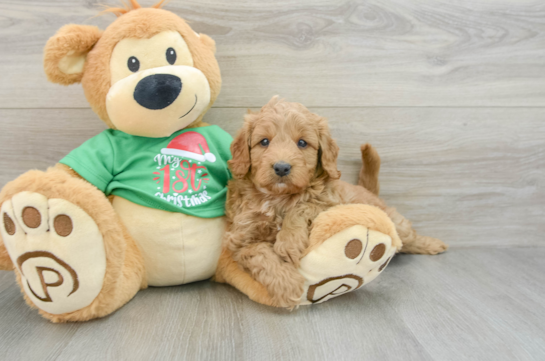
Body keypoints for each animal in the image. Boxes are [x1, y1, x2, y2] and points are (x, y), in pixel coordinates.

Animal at [222, 96, 446, 306]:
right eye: (264, 142)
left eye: (302, 143)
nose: (282, 167)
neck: (278, 198)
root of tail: (369, 191)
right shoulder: (240, 237)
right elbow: (259, 254)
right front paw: (287, 285)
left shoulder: (329, 203)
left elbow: (303, 206)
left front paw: (289, 242)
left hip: (394, 222)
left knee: (409, 236)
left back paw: (434, 244)